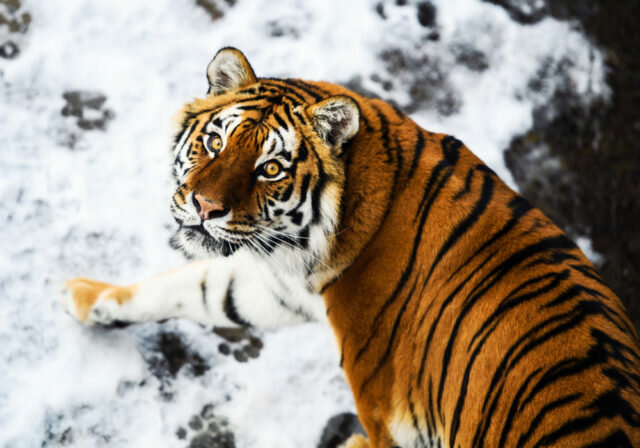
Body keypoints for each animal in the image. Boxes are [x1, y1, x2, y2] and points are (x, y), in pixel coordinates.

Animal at [61, 47, 640, 447]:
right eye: (215, 142)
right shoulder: (279, 287)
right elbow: (200, 289)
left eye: (271, 168)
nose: (204, 206)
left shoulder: (388, 420)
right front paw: (89, 299)